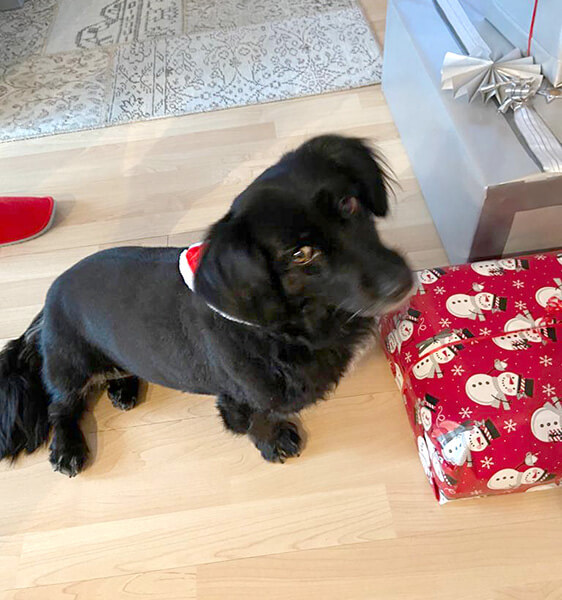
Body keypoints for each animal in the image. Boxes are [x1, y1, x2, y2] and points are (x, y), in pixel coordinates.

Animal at [0, 135, 412, 476]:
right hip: (71, 364)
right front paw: (275, 442)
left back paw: (124, 389)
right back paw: (67, 447)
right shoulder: (240, 398)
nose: (402, 281)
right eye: (300, 254)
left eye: (349, 202)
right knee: (60, 405)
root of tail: (47, 304)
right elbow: (258, 419)